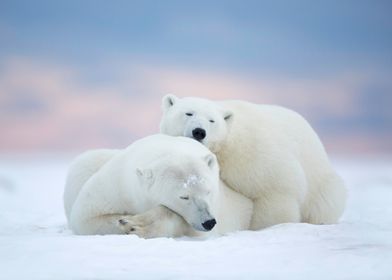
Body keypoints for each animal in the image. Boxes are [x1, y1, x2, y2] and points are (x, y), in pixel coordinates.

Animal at [62, 135, 253, 237]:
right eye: (184, 196)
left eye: (208, 191)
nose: (208, 222)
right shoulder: (117, 184)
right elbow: (86, 217)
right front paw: (127, 222)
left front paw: (136, 224)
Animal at [159, 95, 346, 229]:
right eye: (188, 113)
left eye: (212, 120)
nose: (199, 131)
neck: (227, 146)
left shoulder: (254, 154)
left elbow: (275, 189)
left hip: (321, 183)